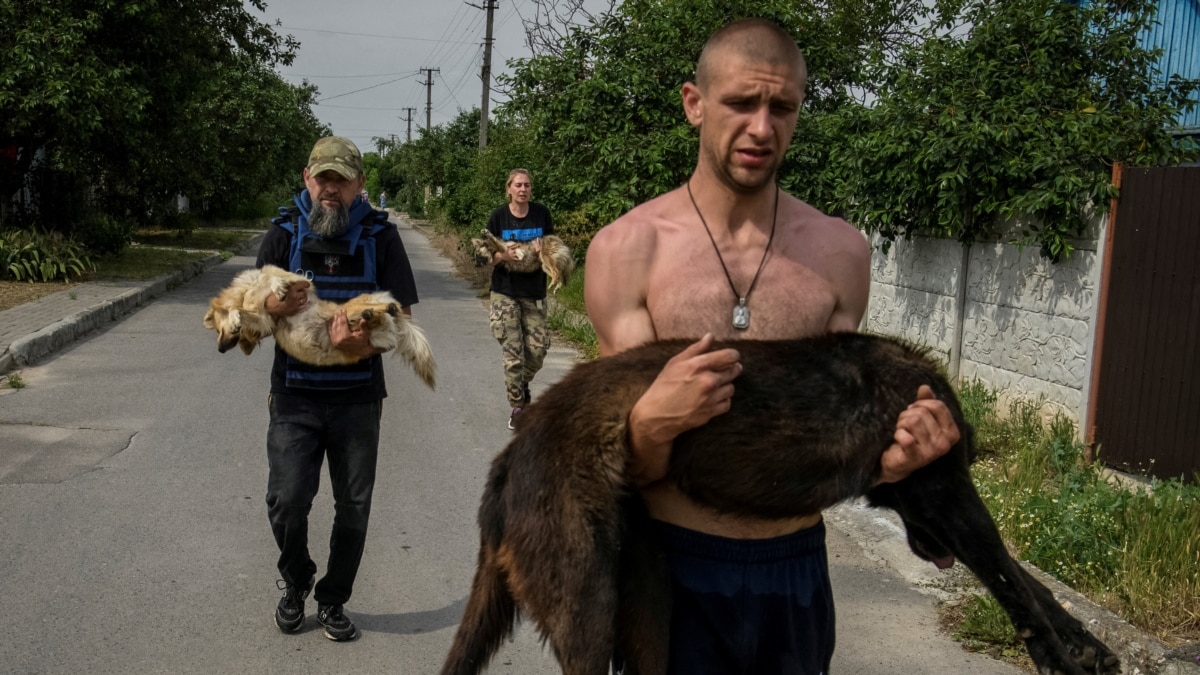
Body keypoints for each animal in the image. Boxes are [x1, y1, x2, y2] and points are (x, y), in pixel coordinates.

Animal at [201, 264, 436, 389]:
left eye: (217, 330)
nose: (220, 350)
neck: (248, 290)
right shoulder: (265, 320)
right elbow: (242, 311)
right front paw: (237, 319)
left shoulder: (301, 282)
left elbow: (276, 278)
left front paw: (278, 288)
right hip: (372, 330)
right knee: (377, 317)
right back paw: (372, 316)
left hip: (352, 308)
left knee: (385, 307)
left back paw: (385, 309)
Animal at [444, 331, 1123, 672]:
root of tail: (510, 458)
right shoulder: (948, 493)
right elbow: (1012, 578)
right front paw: (1060, 658)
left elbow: (1031, 581)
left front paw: (1089, 647)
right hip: (588, 601)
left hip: (645, 593)